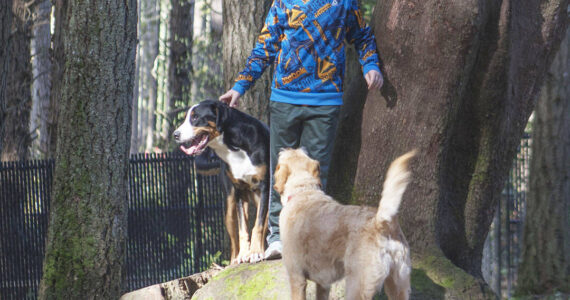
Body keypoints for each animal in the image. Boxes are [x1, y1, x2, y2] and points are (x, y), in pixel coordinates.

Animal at [172, 99, 270, 264]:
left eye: (195, 117)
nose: (175, 135)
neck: (236, 148)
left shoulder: (264, 188)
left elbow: (258, 225)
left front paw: (256, 252)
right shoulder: (238, 191)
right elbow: (243, 229)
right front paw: (245, 254)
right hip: (230, 207)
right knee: (234, 239)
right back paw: (236, 259)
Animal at [272, 149, 412, 300]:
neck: (303, 191)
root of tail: (382, 223)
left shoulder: (296, 277)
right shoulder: (323, 283)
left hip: (356, 288)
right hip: (398, 287)